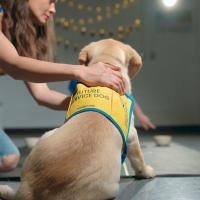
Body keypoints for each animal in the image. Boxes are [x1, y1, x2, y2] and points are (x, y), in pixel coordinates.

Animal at [0, 39, 155, 200]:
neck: (106, 61)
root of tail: (30, 192)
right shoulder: (132, 134)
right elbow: (138, 158)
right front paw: (146, 172)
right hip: (111, 187)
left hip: (47, 135)